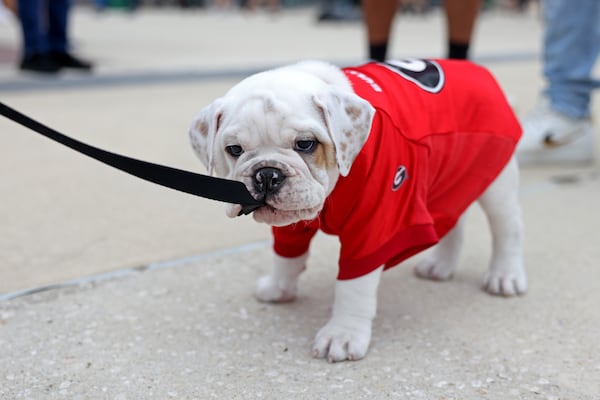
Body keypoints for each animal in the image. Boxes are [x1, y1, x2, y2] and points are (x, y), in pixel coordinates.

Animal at [190, 59, 528, 362]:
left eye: (306, 144)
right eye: (234, 150)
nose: (266, 174)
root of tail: (481, 72)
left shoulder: (375, 226)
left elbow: (354, 286)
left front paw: (342, 335)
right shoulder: (288, 225)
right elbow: (286, 256)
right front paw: (279, 288)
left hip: (496, 178)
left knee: (508, 228)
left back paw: (505, 276)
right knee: (452, 218)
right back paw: (440, 266)